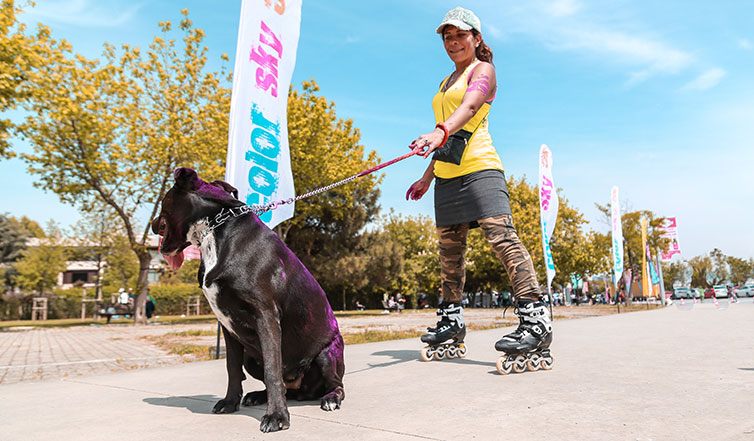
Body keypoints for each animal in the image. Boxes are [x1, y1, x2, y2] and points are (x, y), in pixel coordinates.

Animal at [153, 167, 346, 432]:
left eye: (164, 200)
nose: (153, 224)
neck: (216, 227)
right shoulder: (226, 325)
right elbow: (232, 368)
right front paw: (229, 402)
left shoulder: (265, 315)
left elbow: (273, 370)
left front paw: (277, 416)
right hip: (251, 357)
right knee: (284, 387)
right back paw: (258, 396)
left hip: (327, 355)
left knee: (336, 385)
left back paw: (331, 398)